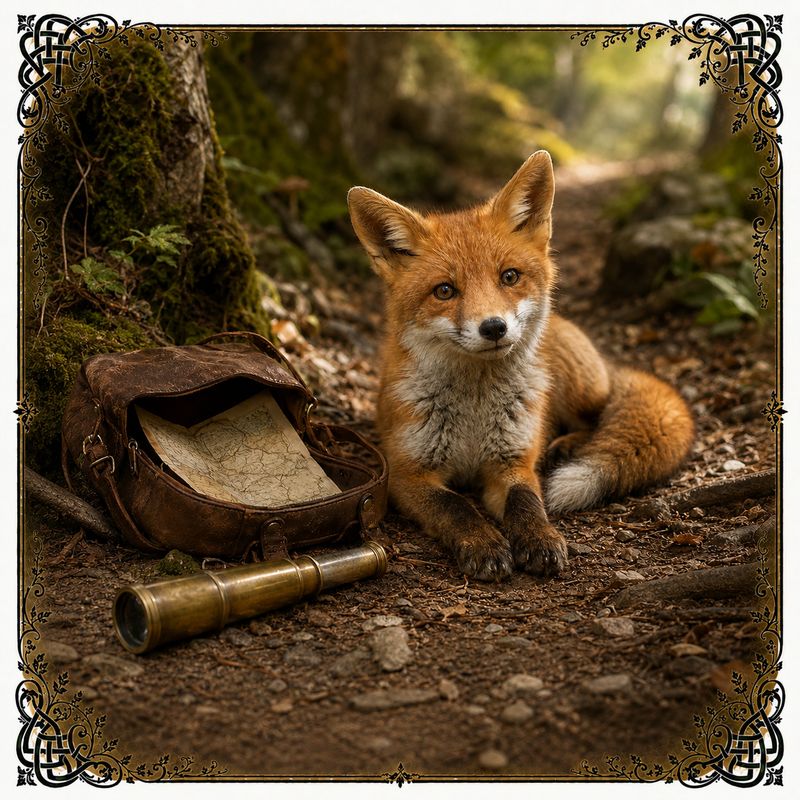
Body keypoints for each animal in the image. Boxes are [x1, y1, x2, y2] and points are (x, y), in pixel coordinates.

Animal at [347, 150, 694, 582]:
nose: (494, 327)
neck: (474, 414)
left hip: (573, 386)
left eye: (509, 276)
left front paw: (540, 538)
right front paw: (483, 543)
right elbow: (456, 507)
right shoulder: (407, 473)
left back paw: (565, 445)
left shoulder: (511, 461)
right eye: (444, 290)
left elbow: (526, 502)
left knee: (597, 417)